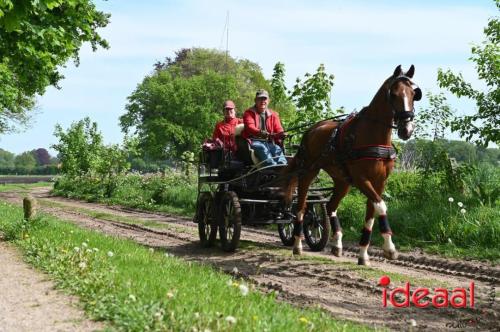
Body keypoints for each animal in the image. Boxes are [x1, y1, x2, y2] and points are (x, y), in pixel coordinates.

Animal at [284, 65, 420, 266]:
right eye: (394, 94)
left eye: (413, 94)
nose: (406, 130)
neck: (372, 135)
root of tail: (311, 129)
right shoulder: (361, 179)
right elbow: (381, 206)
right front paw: (390, 248)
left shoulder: (379, 182)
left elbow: (371, 213)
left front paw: (363, 254)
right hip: (309, 172)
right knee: (301, 206)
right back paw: (297, 244)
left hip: (342, 181)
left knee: (330, 206)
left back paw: (337, 244)